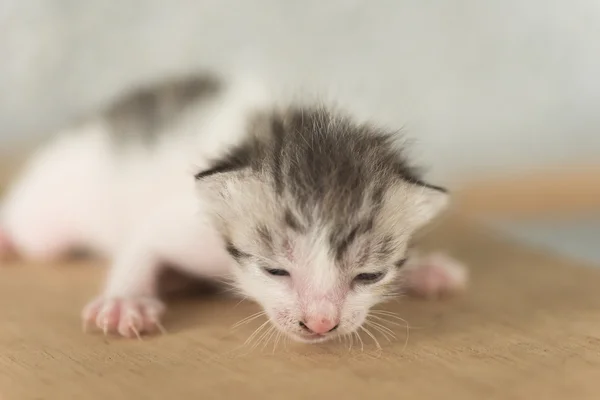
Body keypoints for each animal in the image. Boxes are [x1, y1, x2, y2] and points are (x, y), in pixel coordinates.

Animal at [0, 75, 466, 344]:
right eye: (274, 270)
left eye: (370, 275)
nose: (320, 323)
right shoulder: (187, 228)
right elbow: (143, 242)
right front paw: (123, 302)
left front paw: (426, 268)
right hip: (52, 206)